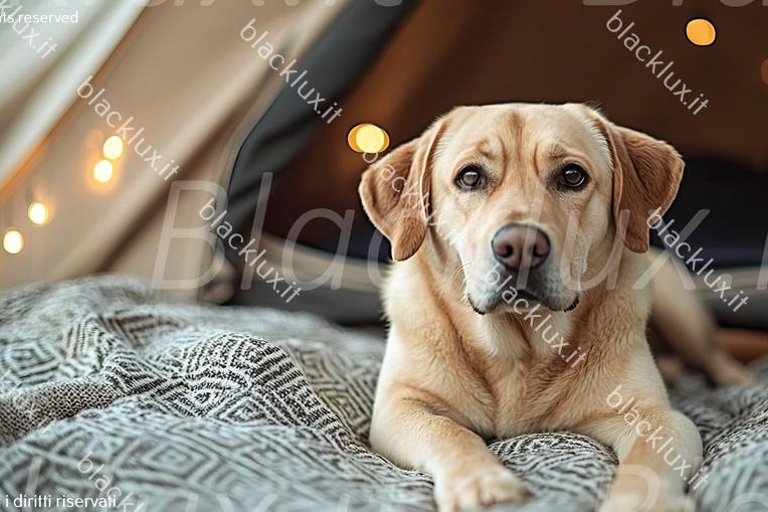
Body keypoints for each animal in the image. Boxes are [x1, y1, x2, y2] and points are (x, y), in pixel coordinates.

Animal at [358, 102, 752, 510]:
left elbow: (647, 460)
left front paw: (639, 501)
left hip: (680, 313)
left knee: (713, 354)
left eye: (572, 175)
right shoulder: (398, 407)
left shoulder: (658, 417)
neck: (520, 350)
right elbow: (448, 430)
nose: (520, 246)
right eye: (469, 177)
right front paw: (481, 482)